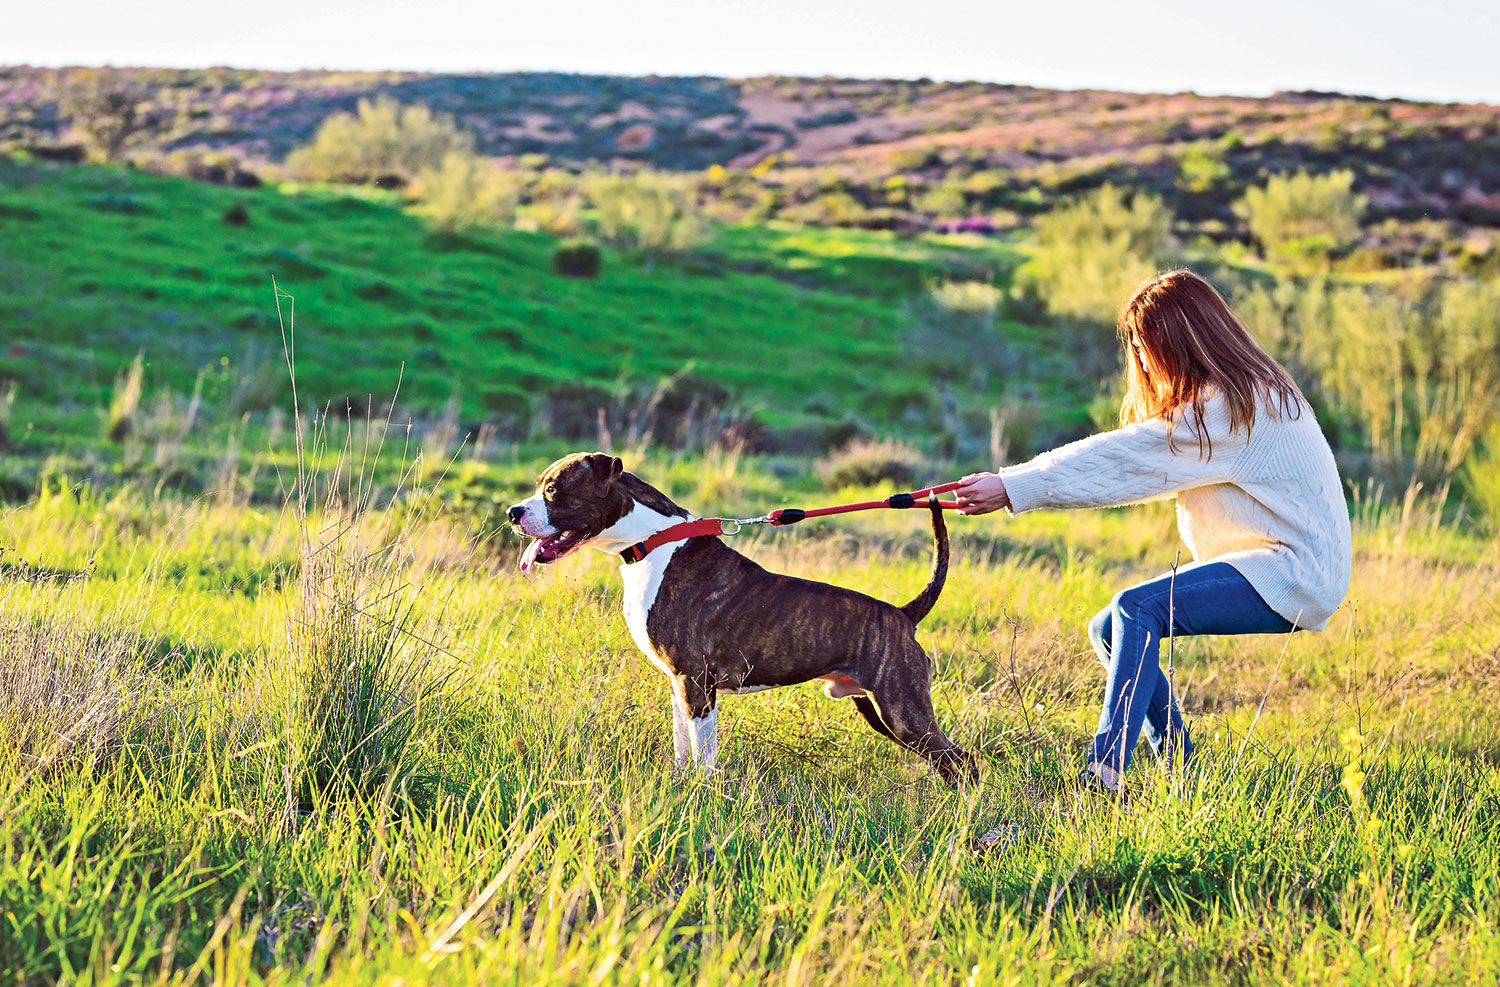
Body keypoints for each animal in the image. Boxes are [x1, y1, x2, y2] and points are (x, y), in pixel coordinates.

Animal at [510, 447, 978, 786]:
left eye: (553, 489)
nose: (513, 513)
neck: (655, 541)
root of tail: (903, 615)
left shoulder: (696, 682)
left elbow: (705, 755)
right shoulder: (678, 684)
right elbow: (683, 749)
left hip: (902, 710)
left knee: (963, 760)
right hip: (879, 710)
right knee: (950, 763)